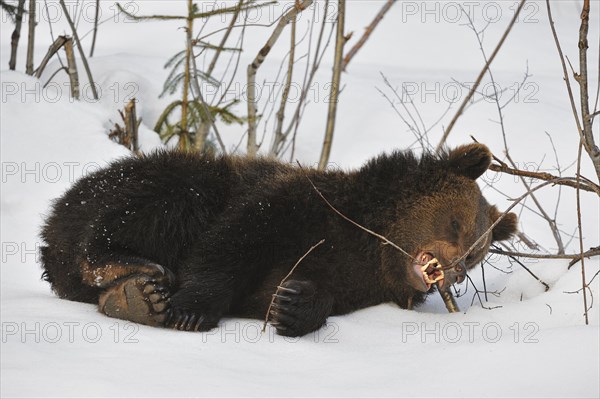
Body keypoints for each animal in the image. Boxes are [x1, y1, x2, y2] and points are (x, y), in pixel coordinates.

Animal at [38, 144, 516, 338]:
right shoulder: (292, 204)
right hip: (157, 185)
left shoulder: (351, 281)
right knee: (161, 201)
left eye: (477, 254)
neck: (370, 243)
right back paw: (136, 273)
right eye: (456, 223)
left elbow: (301, 293)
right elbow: (233, 241)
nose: (453, 271)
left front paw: (292, 305)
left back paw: (135, 297)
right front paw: (191, 311)